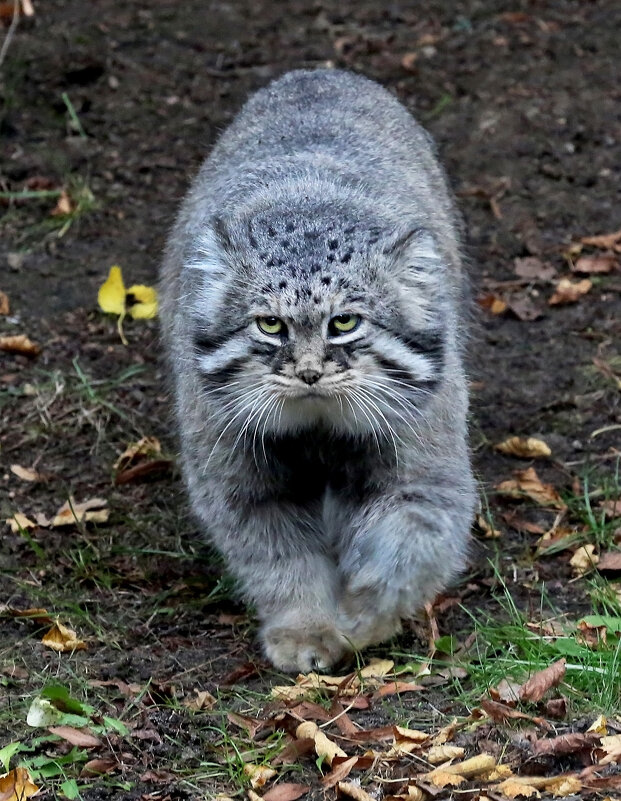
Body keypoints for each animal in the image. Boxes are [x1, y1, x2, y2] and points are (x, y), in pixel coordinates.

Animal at [160, 69, 474, 672]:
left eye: (344, 322)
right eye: (270, 325)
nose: (308, 372)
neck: (318, 429)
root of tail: (319, 72)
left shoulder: (425, 473)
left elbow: (407, 554)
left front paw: (364, 618)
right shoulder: (241, 482)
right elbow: (283, 565)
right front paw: (306, 630)